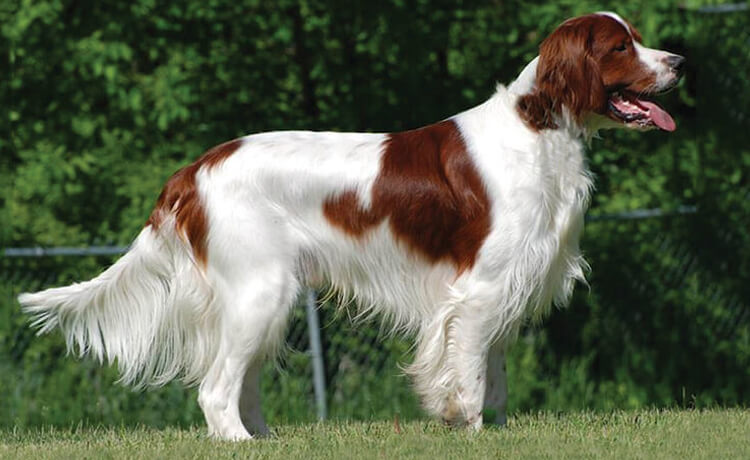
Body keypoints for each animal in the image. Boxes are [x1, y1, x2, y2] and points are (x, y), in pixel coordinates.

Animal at [19, 12, 688, 440]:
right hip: (260, 292)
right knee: (215, 388)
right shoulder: (478, 291)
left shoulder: (505, 288)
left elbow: (493, 376)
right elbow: (471, 376)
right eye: (620, 47)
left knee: (243, 383)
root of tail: (194, 170)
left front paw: (497, 431)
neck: (538, 128)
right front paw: (469, 428)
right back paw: (238, 442)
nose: (681, 61)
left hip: (267, 298)